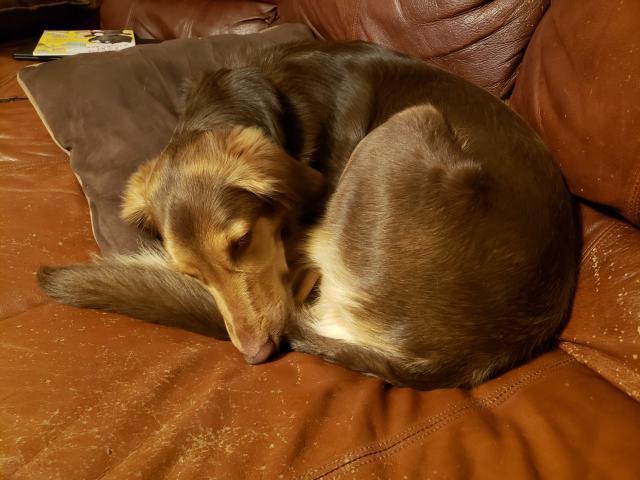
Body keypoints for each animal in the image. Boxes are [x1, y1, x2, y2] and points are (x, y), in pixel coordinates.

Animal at [39, 41, 580, 388]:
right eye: (191, 273)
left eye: (241, 242)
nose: (256, 355)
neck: (262, 92)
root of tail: (457, 357)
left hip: (409, 123)